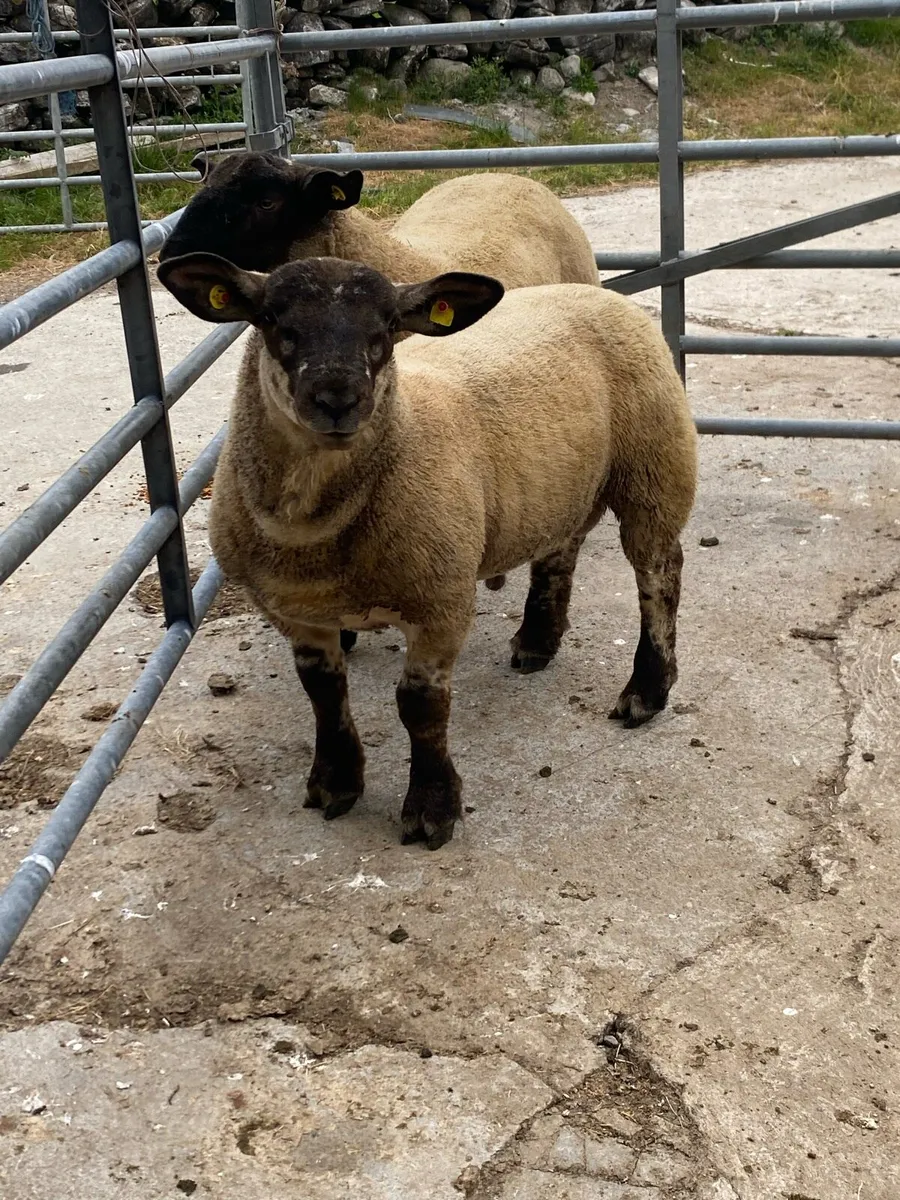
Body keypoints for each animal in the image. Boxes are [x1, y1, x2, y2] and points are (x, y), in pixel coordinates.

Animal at [157, 252, 697, 851]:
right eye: (272, 319)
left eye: (388, 327)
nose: (338, 399)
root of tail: (601, 294)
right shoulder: (296, 612)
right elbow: (322, 692)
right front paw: (335, 783)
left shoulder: (441, 601)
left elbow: (420, 706)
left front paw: (431, 808)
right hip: (564, 482)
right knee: (561, 547)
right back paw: (537, 642)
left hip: (654, 464)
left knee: (659, 576)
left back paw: (646, 691)